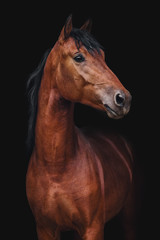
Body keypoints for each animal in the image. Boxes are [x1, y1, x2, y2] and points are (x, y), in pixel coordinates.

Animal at [26, 15, 136, 240]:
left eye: (103, 56)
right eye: (78, 57)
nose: (123, 99)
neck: (56, 168)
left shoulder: (92, 228)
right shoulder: (45, 229)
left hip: (128, 214)